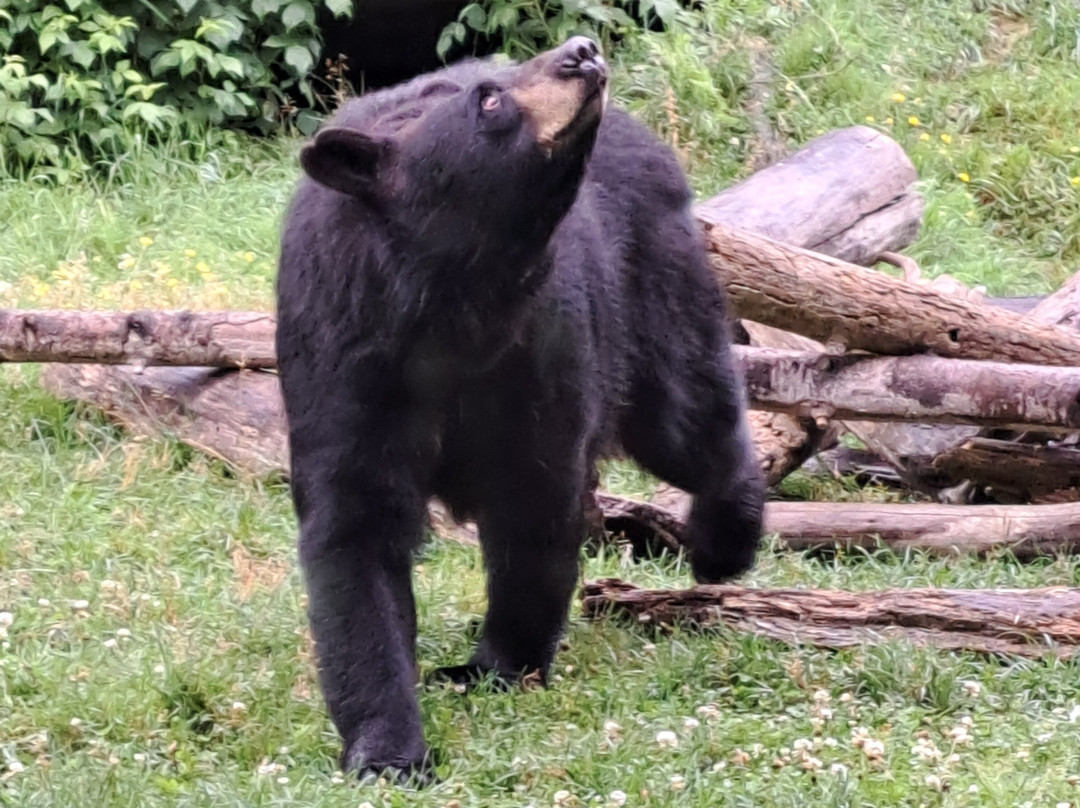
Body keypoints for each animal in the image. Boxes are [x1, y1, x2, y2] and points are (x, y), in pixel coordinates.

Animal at [274, 36, 765, 781]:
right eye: (489, 99)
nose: (580, 51)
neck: (453, 302)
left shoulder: (537, 348)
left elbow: (533, 498)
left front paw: (498, 663)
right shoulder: (342, 359)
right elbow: (354, 529)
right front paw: (388, 749)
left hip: (651, 288)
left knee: (688, 415)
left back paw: (723, 541)